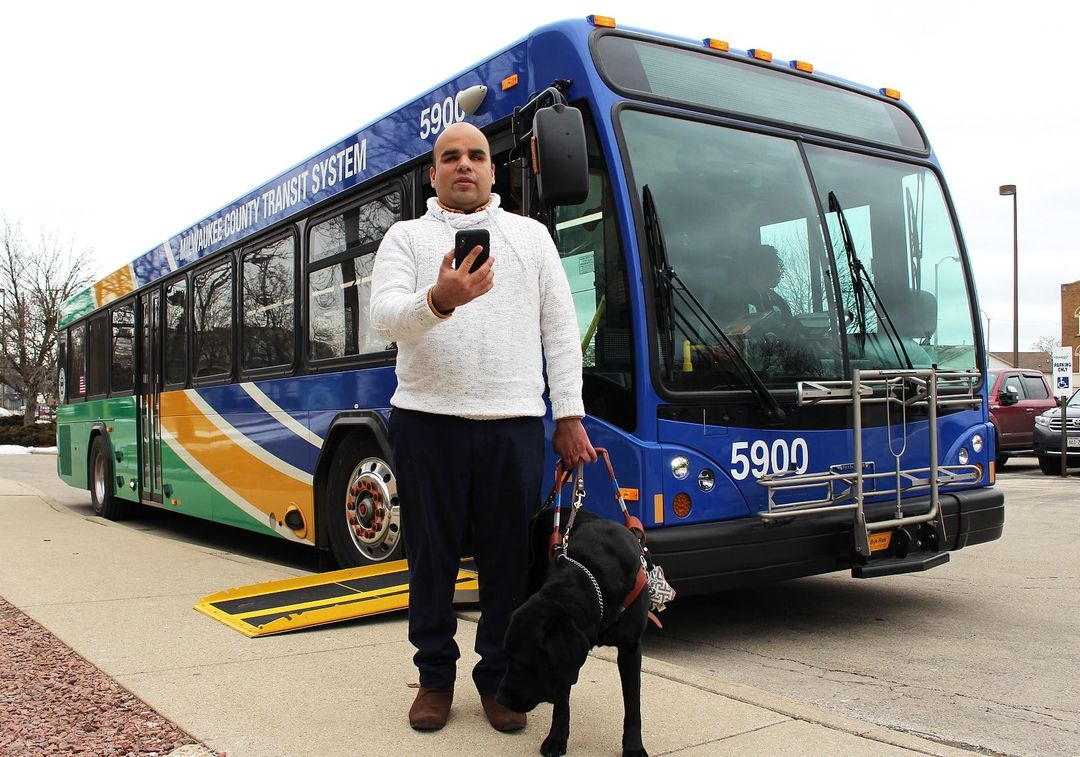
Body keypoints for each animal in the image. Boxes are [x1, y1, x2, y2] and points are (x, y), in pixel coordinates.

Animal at [494, 505, 648, 755]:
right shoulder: (562, 659)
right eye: (507, 657)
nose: (500, 700)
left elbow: (633, 703)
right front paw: (556, 738)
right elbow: (562, 701)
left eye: (526, 663)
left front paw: (634, 747)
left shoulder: (631, 648)